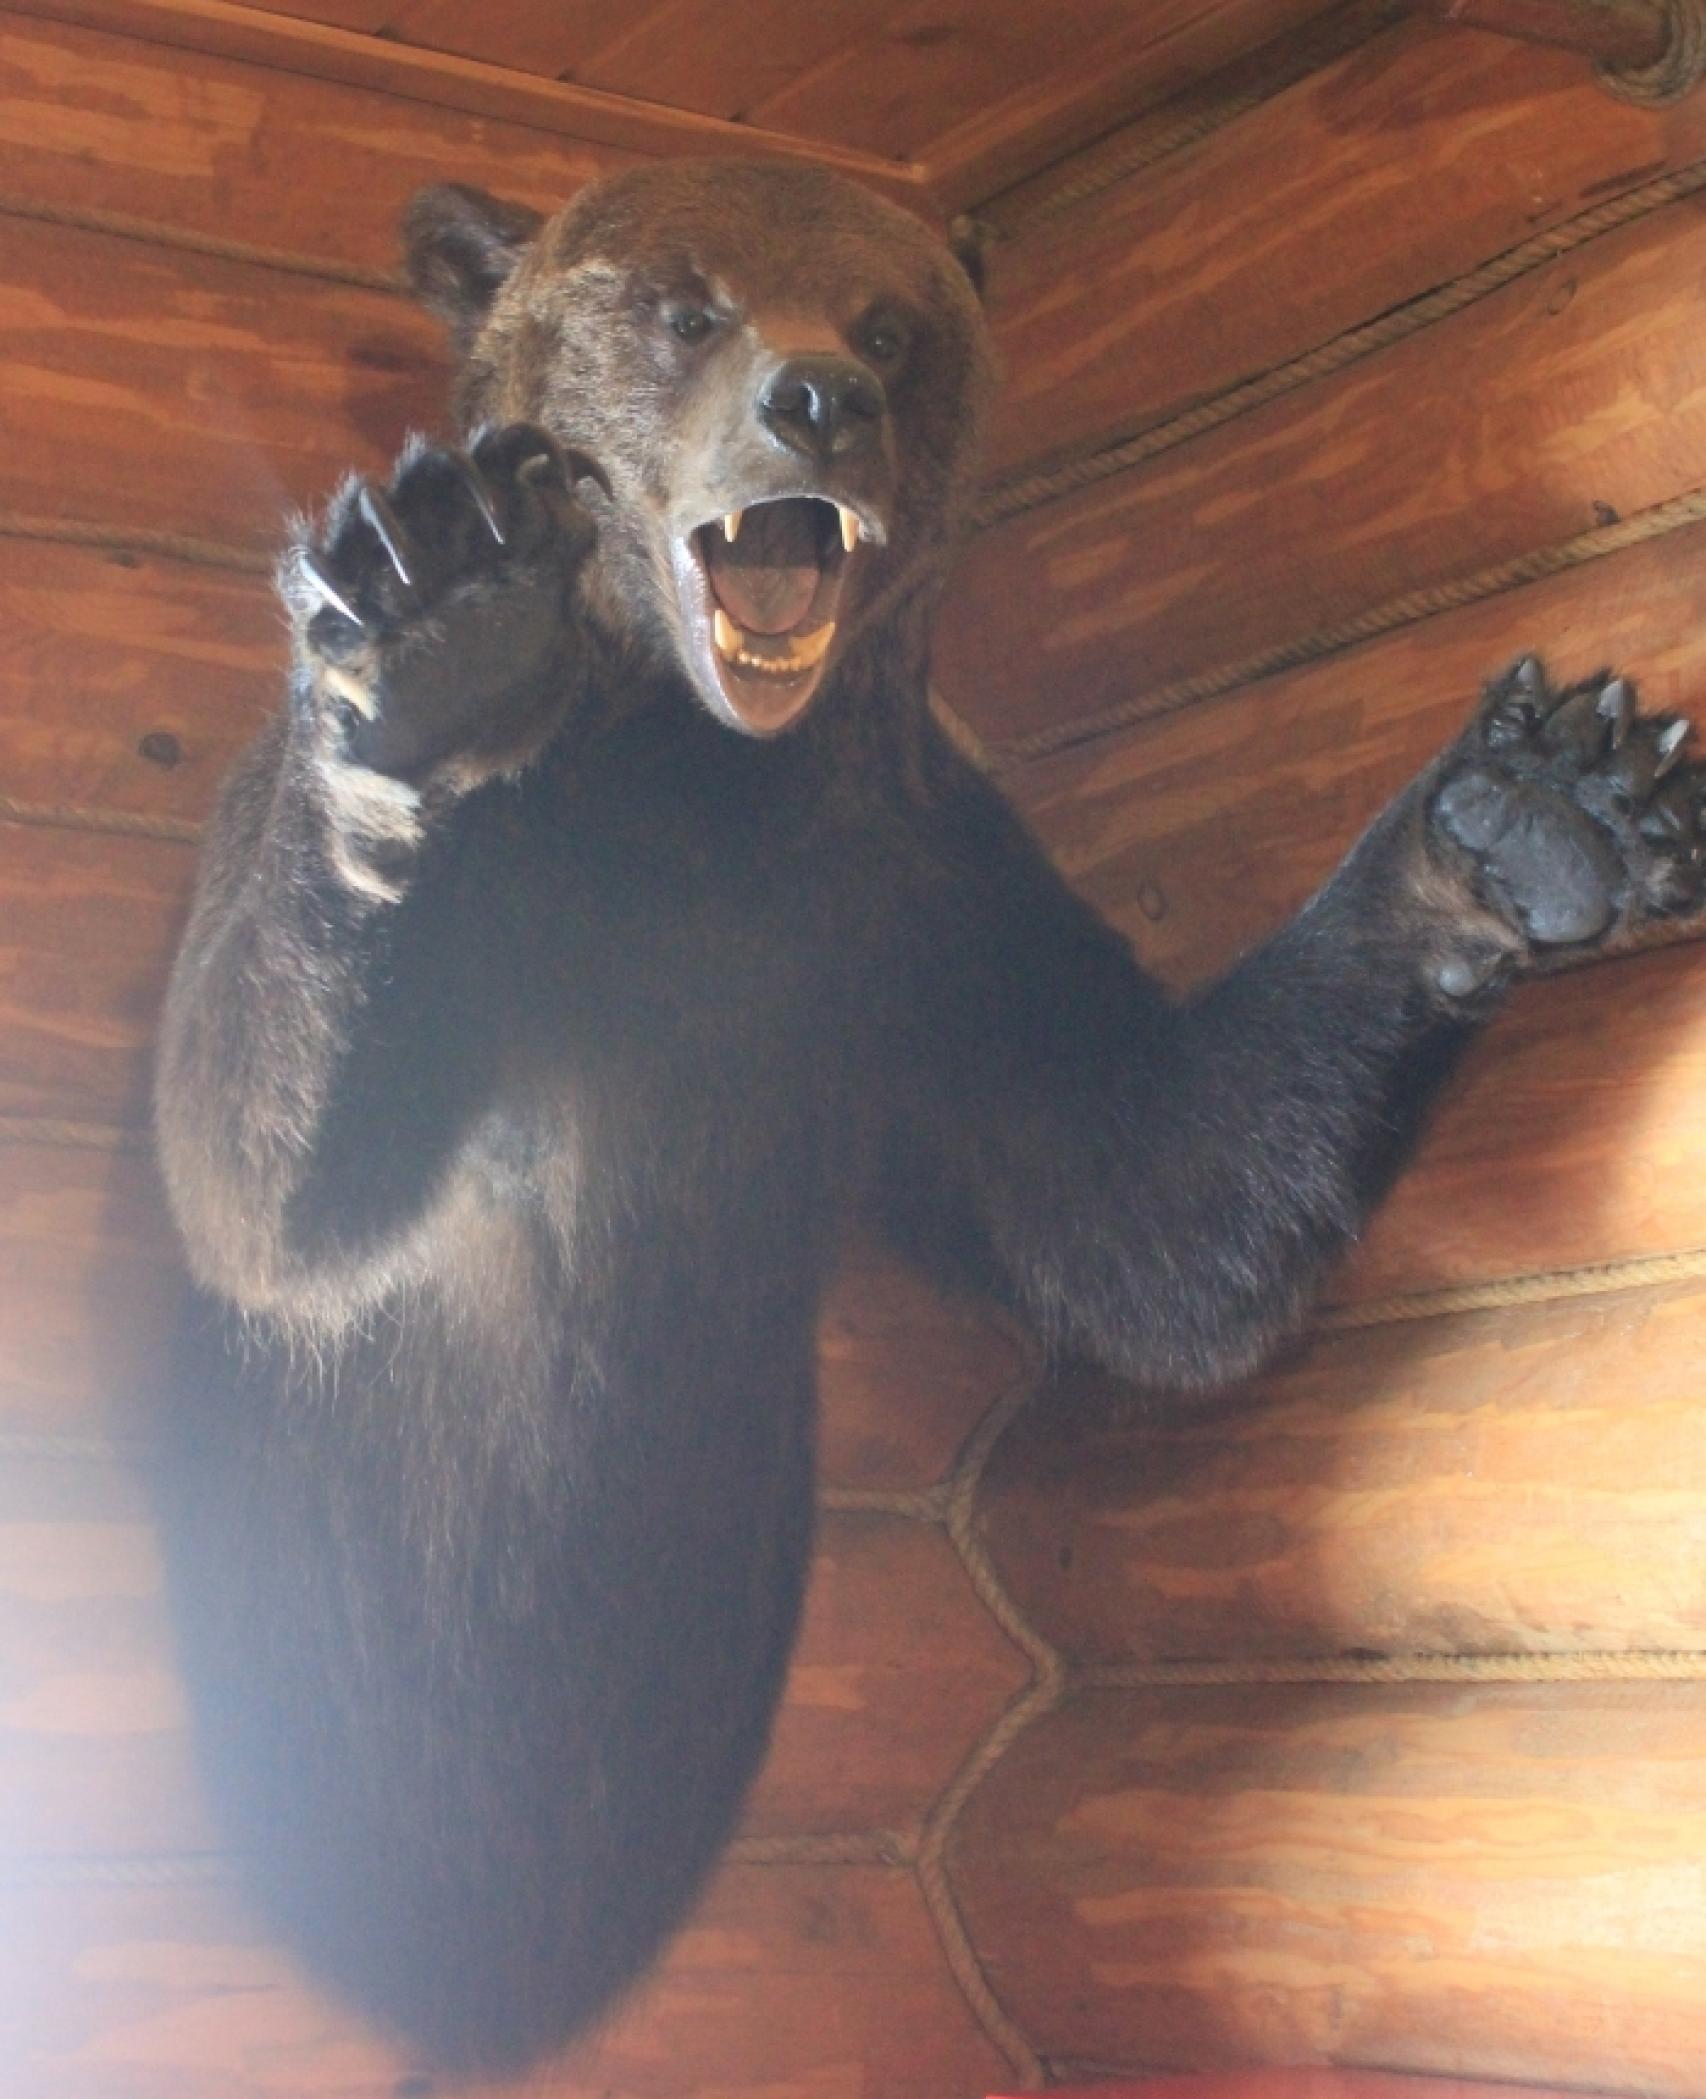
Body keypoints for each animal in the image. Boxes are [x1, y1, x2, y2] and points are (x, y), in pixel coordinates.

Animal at [154, 158, 1706, 2078]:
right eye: (683, 302)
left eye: (892, 321)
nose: (818, 395)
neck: (691, 783)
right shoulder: (462, 908)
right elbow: (263, 1178)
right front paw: (442, 632)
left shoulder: (902, 902)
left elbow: (1151, 1201)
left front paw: (1544, 809)